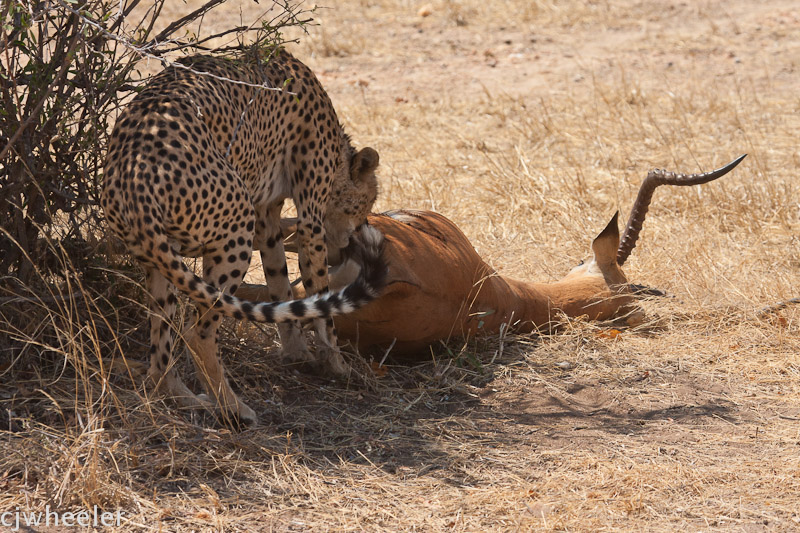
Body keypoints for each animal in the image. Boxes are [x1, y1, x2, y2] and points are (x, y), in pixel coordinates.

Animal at [101, 50, 384, 424]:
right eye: (364, 207)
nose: (349, 241)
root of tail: (133, 168)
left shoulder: (267, 216)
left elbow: (279, 283)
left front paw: (296, 351)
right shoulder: (308, 221)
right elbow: (321, 301)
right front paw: (338, 365)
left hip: (161, 257)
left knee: (160, 346)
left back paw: (187, 399)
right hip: (235, 227)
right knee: (197, 331)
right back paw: (234, 409)